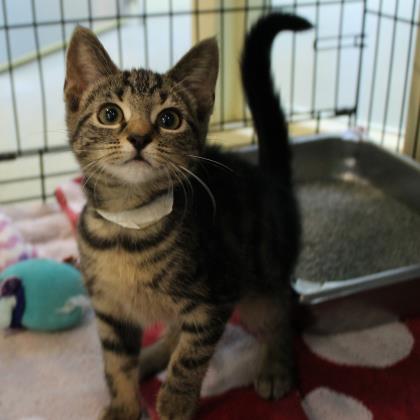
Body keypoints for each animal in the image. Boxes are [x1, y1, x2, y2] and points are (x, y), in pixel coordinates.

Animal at [64, 12, 311, 420]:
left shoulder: (215, 297)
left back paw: (277, 367)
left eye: (169, 119)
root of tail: (270, 178)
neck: (128, 223)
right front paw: (124, 405)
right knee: (176, 332)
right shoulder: (110, 308)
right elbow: (117, 361)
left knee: (278, 315)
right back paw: (150, 358)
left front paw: (176, 401)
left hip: (261, 279)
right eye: (110, 114)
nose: (139, 137)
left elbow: (190, 358)